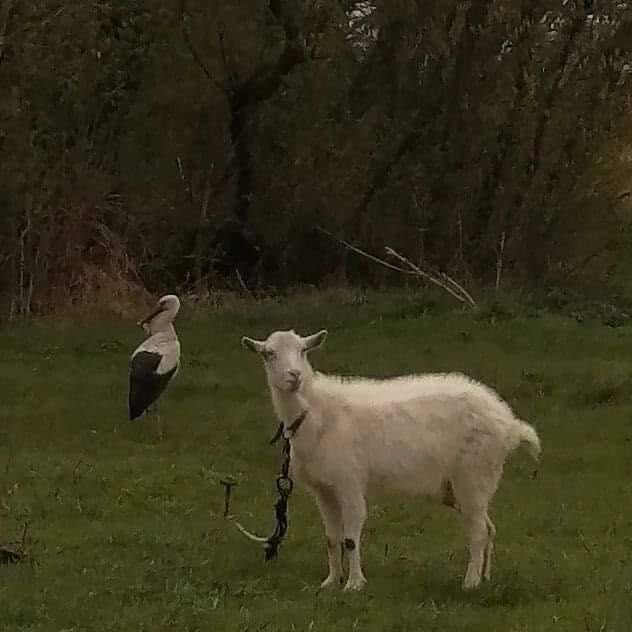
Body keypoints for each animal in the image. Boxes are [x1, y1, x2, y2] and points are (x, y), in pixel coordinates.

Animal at [239, 330, 540, 592]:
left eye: (303, 350)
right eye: (268, 354)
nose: (294, 376)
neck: (315, 410)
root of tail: (508, 422)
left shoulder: (349, 481)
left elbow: (350, 539)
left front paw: (354, 584)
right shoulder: (324, 490)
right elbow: (331, 539)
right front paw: (330, 582)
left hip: (474, 472)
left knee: (477, 532)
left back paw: (470, 582)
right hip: (460, 486)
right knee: (488, 528)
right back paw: (485, 577)